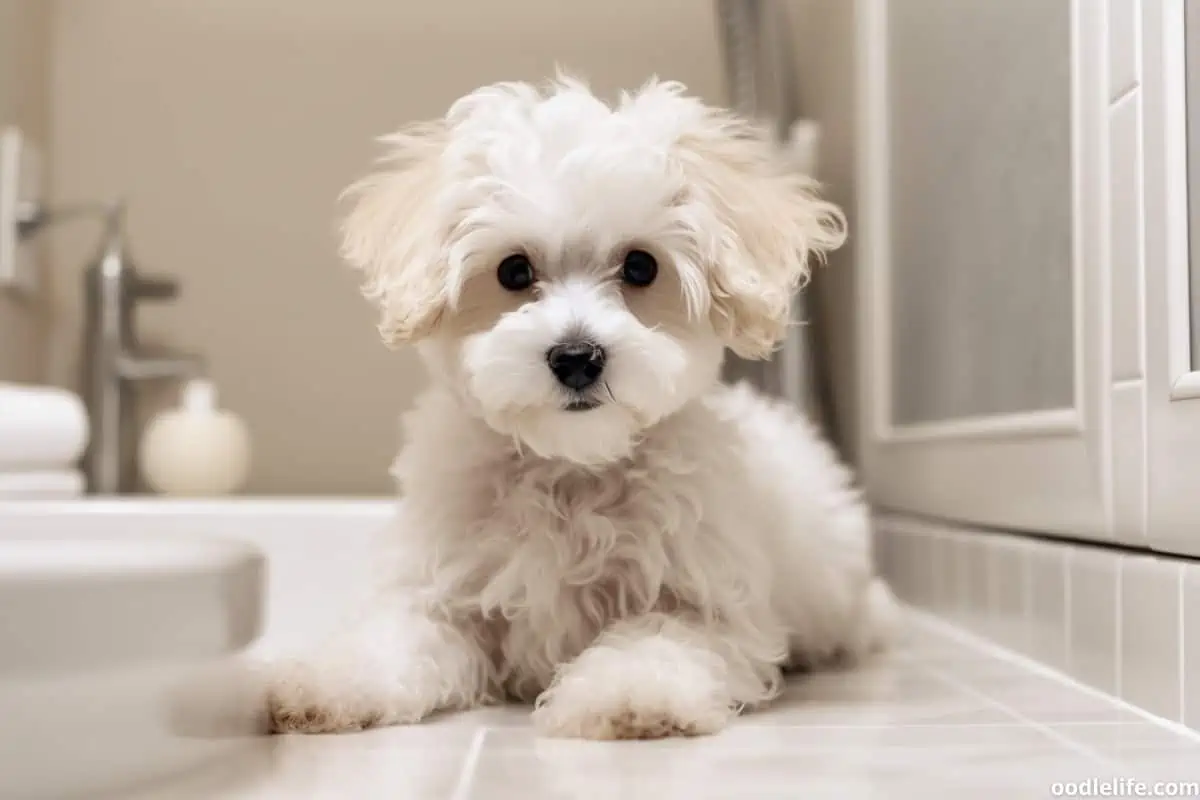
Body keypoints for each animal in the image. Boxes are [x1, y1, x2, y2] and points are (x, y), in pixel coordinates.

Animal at [265, 77, 902, 743]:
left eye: (641, 266)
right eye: (514, 270)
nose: (576, 357)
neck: (569, 467)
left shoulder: (706, 598)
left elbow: (663, 635)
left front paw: (630, 694)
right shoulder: (444, 585)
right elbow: (397, 634)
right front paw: (330, 682)